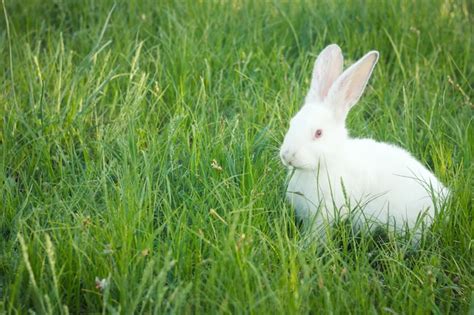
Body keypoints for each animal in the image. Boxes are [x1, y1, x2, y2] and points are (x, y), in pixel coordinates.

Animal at [282, 43, 448, 237]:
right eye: (292, 123)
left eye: (318, 133)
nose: (287, 156)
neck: (327, 163)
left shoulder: (327, 212)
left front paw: (306, 243)